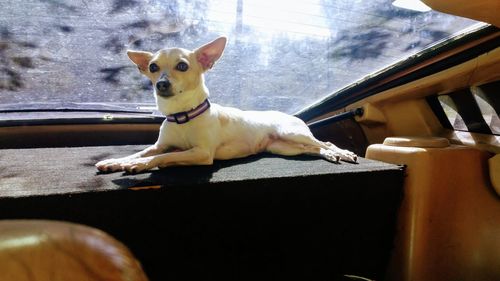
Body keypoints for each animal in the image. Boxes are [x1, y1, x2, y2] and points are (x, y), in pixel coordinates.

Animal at [96, 37, 356, 173]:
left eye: (182, 66)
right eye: (153, 67)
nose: (161, 84)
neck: (182, 115)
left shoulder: (201, 153)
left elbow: (164, 157)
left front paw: (138, 165)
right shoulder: (161, 146)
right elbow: (143, 152)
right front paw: (116, 161)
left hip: (292, 134)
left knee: (324, 142)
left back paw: (342, 152)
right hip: (283, 147)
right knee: (313, 148)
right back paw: (331, 155)